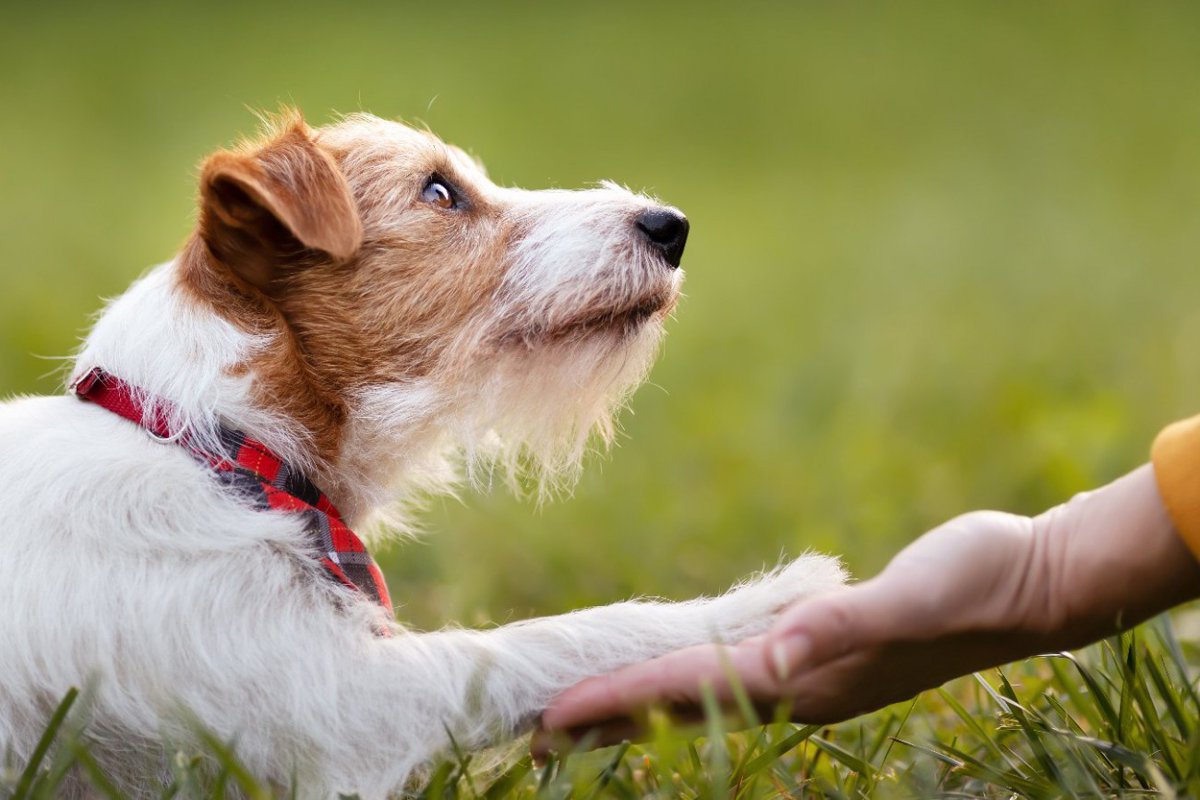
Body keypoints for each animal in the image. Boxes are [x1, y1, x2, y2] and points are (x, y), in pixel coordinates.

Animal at [0, 112, 844, 800]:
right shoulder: (347, 707)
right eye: (440, 192)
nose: (671, 225)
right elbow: (545, 639)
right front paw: (765, 606)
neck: (217, 450)